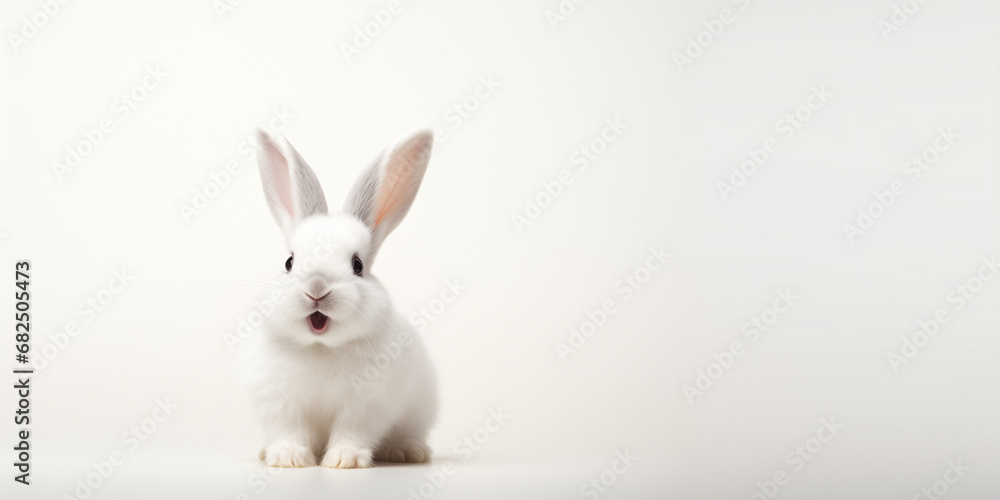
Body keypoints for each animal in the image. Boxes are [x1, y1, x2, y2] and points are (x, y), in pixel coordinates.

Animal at [242, 128, 439, 468]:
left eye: (357, 265)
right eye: (289, 262)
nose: (317, 286)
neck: (321, 348)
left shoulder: (366, 407)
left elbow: (352, 432)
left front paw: (343, 460)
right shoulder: (282, 405)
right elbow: (291, 431)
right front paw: (289, 458)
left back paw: (408, 452)